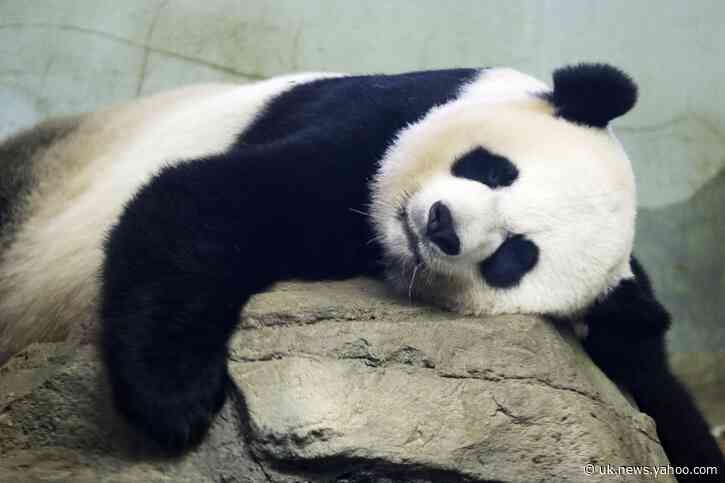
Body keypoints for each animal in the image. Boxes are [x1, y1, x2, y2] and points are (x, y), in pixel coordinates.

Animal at [0, 63, 722, 479]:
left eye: (513, 256)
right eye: (493, 169)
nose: (441, 225)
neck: (378, 238)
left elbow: (652, 376)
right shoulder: (380, 122)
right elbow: (206, 198)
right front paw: (175, 401)